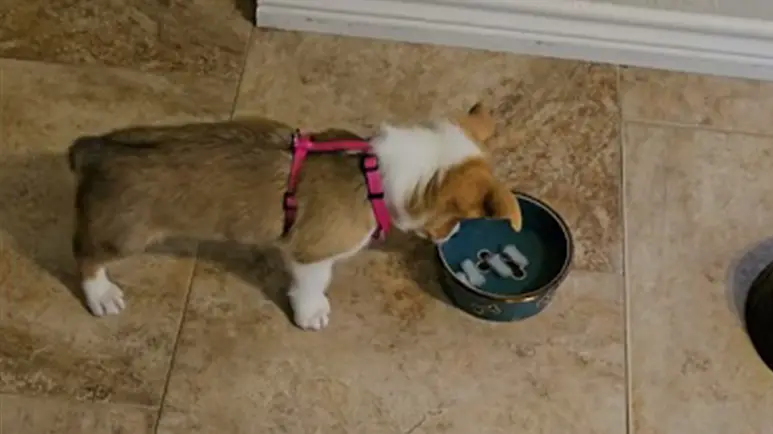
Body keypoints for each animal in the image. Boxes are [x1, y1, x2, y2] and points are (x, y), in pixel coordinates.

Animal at [69, 103, 520, 330]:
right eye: (463, 214)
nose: (451, 236)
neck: (375, 171)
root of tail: (99, 148)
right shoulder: (313, 254)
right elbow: (312, 286)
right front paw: (311, 313)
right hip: (123, 234)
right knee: (84, 254)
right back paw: (101, 295)